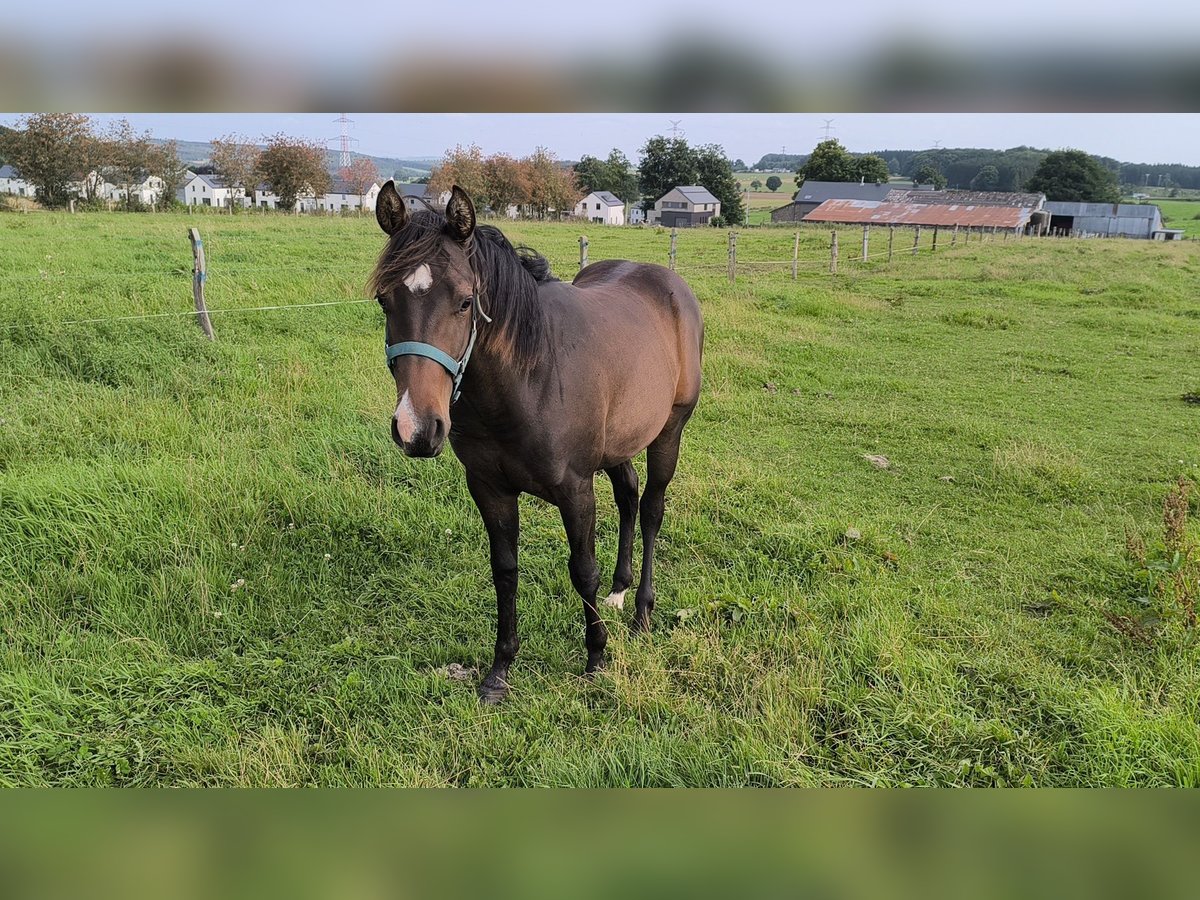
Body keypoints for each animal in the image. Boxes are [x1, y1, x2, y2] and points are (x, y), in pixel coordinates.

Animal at [367, 183, 700, 705]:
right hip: (618, 444)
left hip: (669, 432)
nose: (417, 428)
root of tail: (671, 286)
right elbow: (505, 570)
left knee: (650, 509)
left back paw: (643, 612)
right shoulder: (490, 488)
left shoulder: (575, 489)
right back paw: (620, 591)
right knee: (628, 496)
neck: (529, 377)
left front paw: (596, 659)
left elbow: (582, 570)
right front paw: (499, 670)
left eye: (465, 302)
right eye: (384, 300)